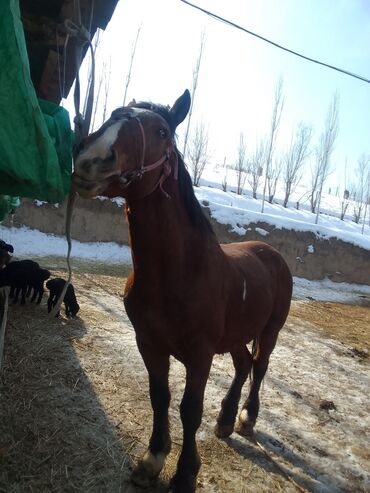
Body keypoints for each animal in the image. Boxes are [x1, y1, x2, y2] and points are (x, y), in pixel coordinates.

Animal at [71, 90, 292, 490]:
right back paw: (225, 420)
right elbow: (160, 397)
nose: (90, 157)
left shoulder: (200, 354)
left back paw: (246, 419)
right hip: (234, 336)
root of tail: (273, 254)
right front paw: (153, 459)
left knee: (259, 367)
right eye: (112, 115)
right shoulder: (149, 343)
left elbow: (190, 410)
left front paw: (186, 473)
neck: (179, 273)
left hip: (270, 331)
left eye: (161, 131)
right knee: (242, 364)